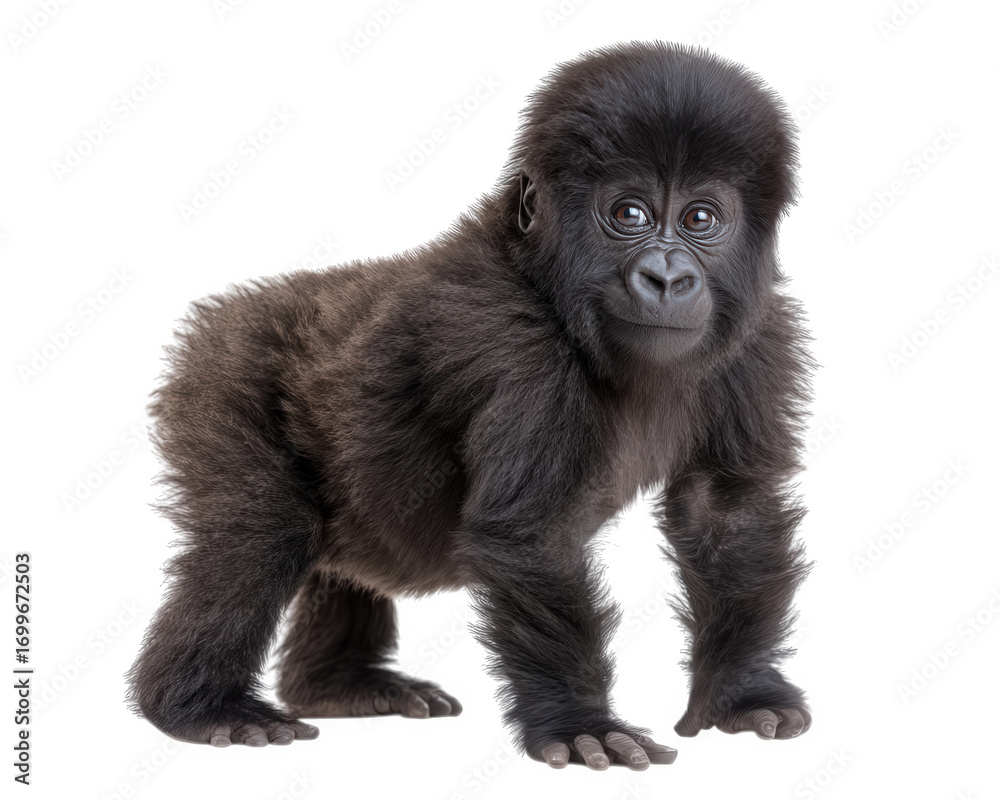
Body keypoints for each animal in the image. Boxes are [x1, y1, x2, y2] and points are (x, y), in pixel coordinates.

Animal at [127, 40, 813, 771]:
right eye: (628, 214)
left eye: (699, 219)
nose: (666, 277)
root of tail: (224, 314)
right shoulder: (516, 346)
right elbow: (532, 535)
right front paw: (579, 722)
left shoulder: (758, 339)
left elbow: (728, 514)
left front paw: (740, 693)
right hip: (220, 374)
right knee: (260, 534)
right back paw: (199, 707)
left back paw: (338, 686)